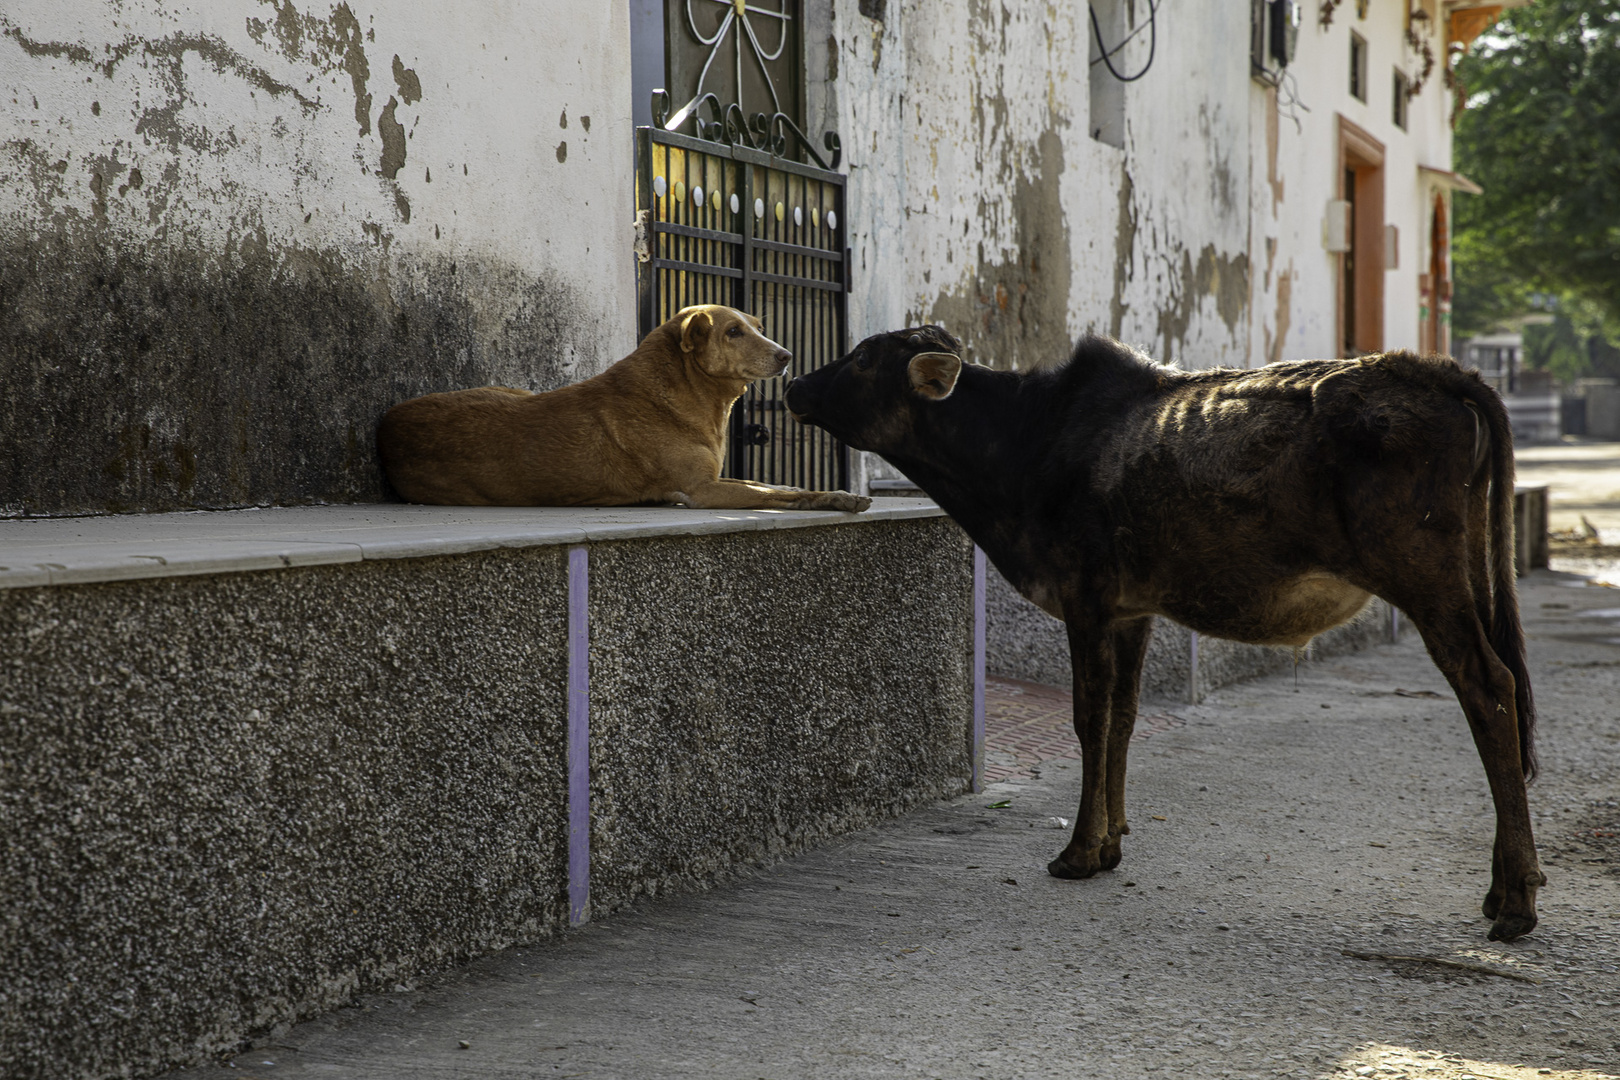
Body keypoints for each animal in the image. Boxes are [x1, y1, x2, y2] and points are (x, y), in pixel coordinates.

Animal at [377, 306, 874, 514]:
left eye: (756, 326)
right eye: (733, 332)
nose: (787, 355)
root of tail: (388, 424)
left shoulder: (715, 479)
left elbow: (773, 484)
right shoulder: (703, 490)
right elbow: (781, 495)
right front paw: (833, 498)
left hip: (512, 389)